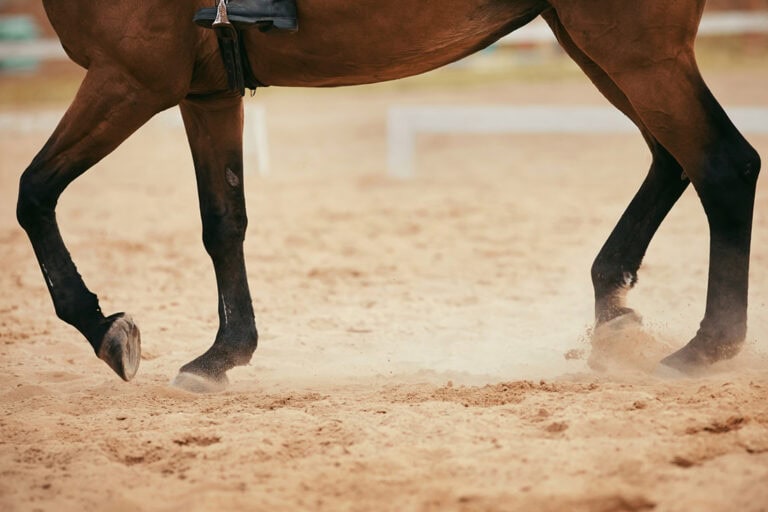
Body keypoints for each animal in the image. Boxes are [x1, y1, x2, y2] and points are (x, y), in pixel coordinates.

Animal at [18, 0, 761, 392]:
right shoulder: (204, 91)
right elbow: (222, 222)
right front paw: (222, 354)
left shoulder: (130, 75)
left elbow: (32, 195)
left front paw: (108, 330)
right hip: (592, 41)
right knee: (673, 159)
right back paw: (615, 315)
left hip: (632, 48)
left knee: (722, 165)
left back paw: (706, 348)